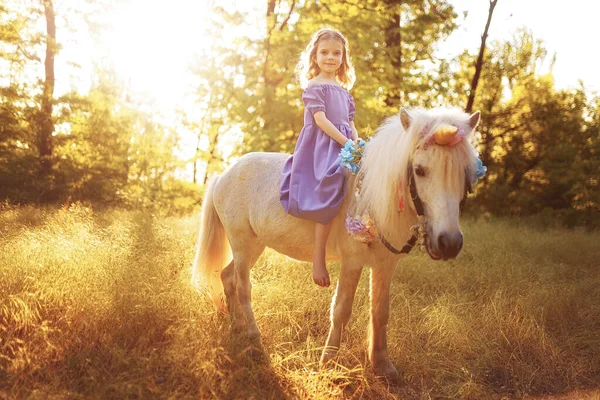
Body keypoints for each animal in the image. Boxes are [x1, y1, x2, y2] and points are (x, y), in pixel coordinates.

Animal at [192, 106, 482, 382]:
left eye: (466, 172)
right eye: (420, 170)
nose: (449, 243)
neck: (373, 197)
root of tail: (223, 175)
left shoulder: (385, 265)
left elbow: (380, 311)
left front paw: (382, 365)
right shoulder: (351, 263)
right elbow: (342, 309)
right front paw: (328, 362)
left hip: (253, 247)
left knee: (227, 277)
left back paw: (237, 329)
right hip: (242, 244)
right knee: (243, 288)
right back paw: (255, 342)